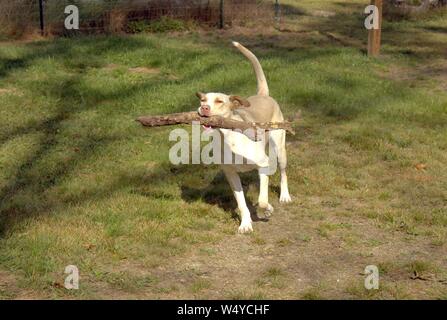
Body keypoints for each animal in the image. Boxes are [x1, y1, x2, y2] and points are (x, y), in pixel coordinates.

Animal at [198, 42, 292, 232]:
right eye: (203, 100)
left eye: (219, 101)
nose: (204, 108)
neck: (229, 138)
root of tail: (263, 95)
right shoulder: (231, 174)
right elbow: (241, 203)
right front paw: (246, 224)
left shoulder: (262, 164)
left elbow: (262, 200)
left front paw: (267, 209)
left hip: (279, 147)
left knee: (283, 171)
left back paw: (285, 196)